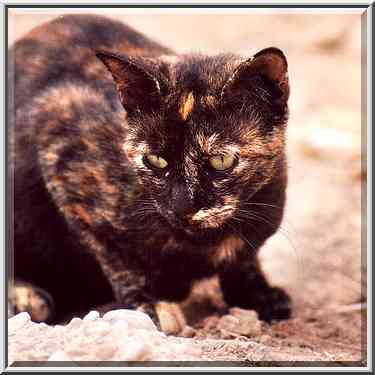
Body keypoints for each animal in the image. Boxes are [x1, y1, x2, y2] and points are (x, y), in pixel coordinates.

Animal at [8, 14, 292, 326]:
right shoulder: (58, 130)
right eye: (155, 160)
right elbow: (119, 261)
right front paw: (149, 305)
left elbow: (244, 257)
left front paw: (256, 294)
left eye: (220, 161)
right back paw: (24, 295)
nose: (182, 206)